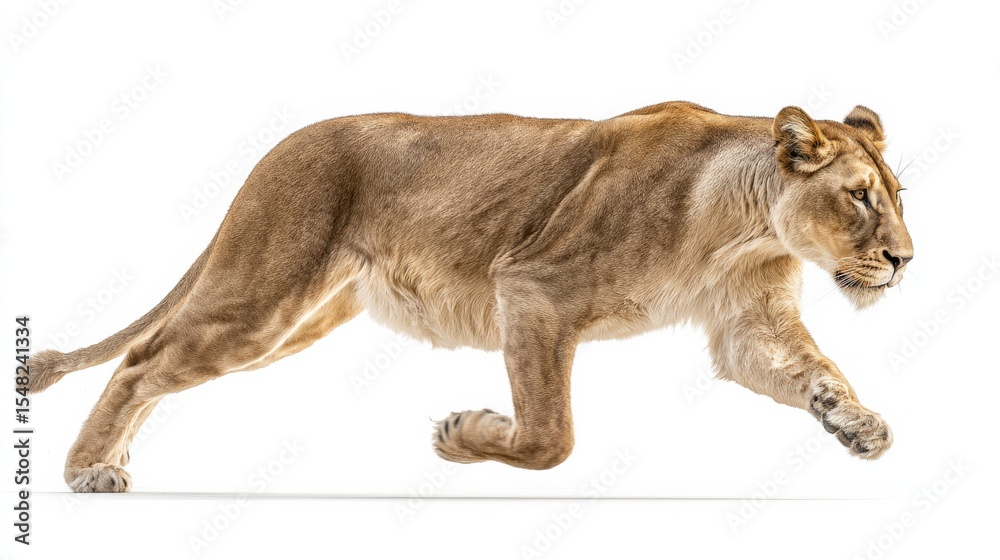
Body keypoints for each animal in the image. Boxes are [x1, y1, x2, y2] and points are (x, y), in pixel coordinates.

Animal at [28, 101, 912, 492]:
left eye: (897, 194)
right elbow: (550, 436)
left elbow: (814, 370)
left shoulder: (747, 322)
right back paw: (86, 471)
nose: (904, 260)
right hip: (262, 296)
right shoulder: (532, 287)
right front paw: (463, 436)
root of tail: (277, 146)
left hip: (297, 321)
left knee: (157, 360)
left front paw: (856, 424)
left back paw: (109, 460)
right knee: (142, 361)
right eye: (859, 196)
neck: (745, 224)